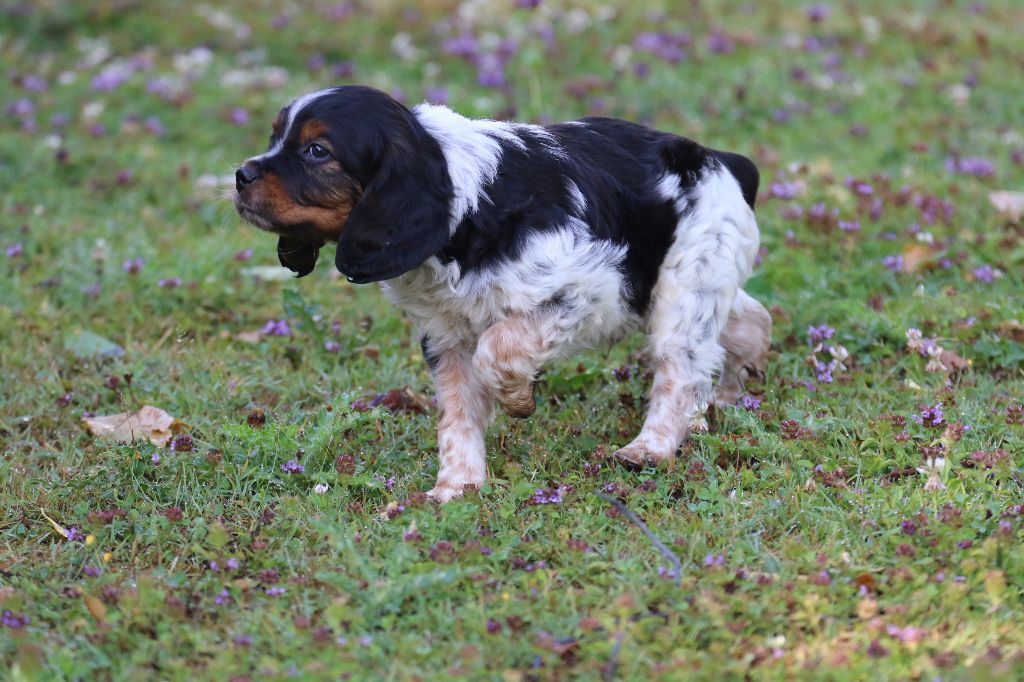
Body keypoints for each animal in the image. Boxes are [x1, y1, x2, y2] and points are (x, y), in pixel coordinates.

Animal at [235, 84, 770, 499]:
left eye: (317, 151)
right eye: (274, 137)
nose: (240, 175)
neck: (467, 207)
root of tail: (724, 161)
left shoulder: (589, 291)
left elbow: (498, 347)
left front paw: (517, 400)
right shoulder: (445, 335)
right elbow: (457, 414)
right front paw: (456, 487)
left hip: (683, 289)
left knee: (679, 368)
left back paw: (650, 449)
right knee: (746, 325)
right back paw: (724, 398)